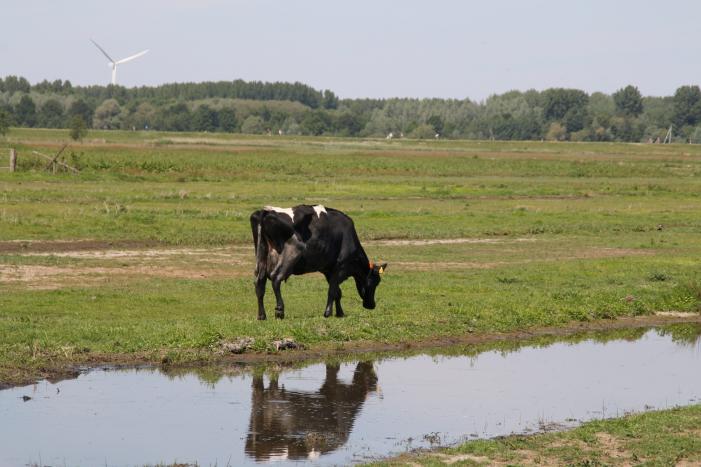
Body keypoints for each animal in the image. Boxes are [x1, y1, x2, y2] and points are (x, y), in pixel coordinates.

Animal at [250, 205, 387, 320]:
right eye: (375, 282)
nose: (371, 305)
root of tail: (265, 211)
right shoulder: (339, 267)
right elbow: (332, 291)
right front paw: (328, 313)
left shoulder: (328, 270)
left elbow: (337, 292)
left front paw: (340, 313)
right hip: (291, 253)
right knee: (276, 278)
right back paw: (279, 311)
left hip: (261, 257)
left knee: (259, 283)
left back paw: (261, 315)